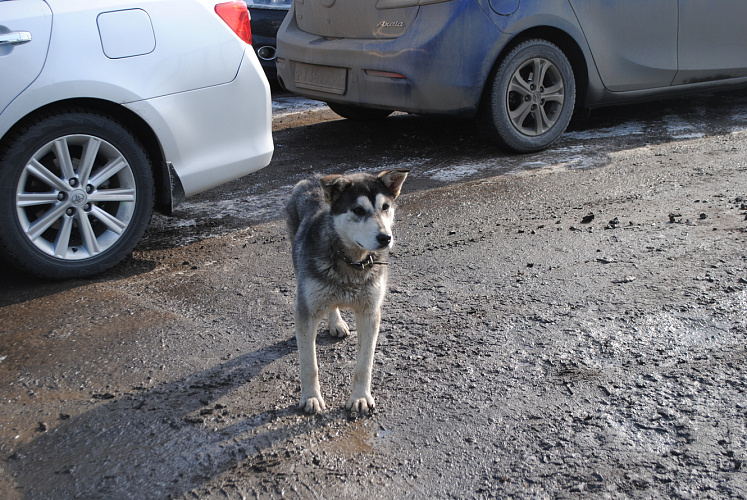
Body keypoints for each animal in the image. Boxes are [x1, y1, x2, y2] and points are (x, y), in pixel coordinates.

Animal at [288, 170, 410, 416]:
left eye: (385, 207)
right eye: (358, 210)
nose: (386, 238)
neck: (351, 261)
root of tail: (313, 176)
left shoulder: (370, 313)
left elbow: (365, 363)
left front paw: (360, 397)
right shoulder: (306, 312)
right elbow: (309, 364)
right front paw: (311, 397)